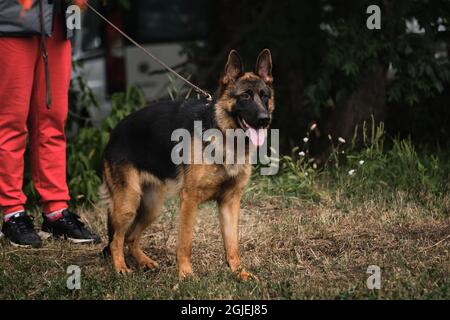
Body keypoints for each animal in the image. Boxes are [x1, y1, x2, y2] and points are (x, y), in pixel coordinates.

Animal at [100, 49, 272, 280]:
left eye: (265, 96)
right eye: (245, 96)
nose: (265, 119)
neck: (224, 136)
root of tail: (115, 132)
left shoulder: (230, 202)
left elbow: (232, 243)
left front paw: (239, 272)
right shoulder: (190, 200)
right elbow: (185, 242)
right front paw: (186, 275)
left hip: (151, 207)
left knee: (130, 238)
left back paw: (145, 262)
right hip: (128, 202)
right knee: (116, 240)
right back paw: (120, 267)